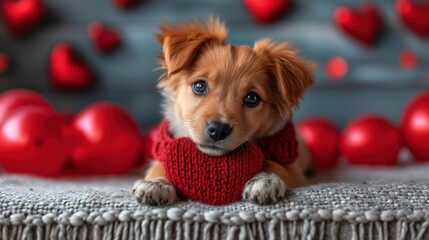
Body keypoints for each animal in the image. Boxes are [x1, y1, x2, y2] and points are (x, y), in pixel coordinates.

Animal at [132, 18, 312, 206]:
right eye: (199, 86)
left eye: (252, 98)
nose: (218, 130)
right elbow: (160, 166)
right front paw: (157, 183)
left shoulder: (294, 169)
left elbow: (276, 166)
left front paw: (266, 181)